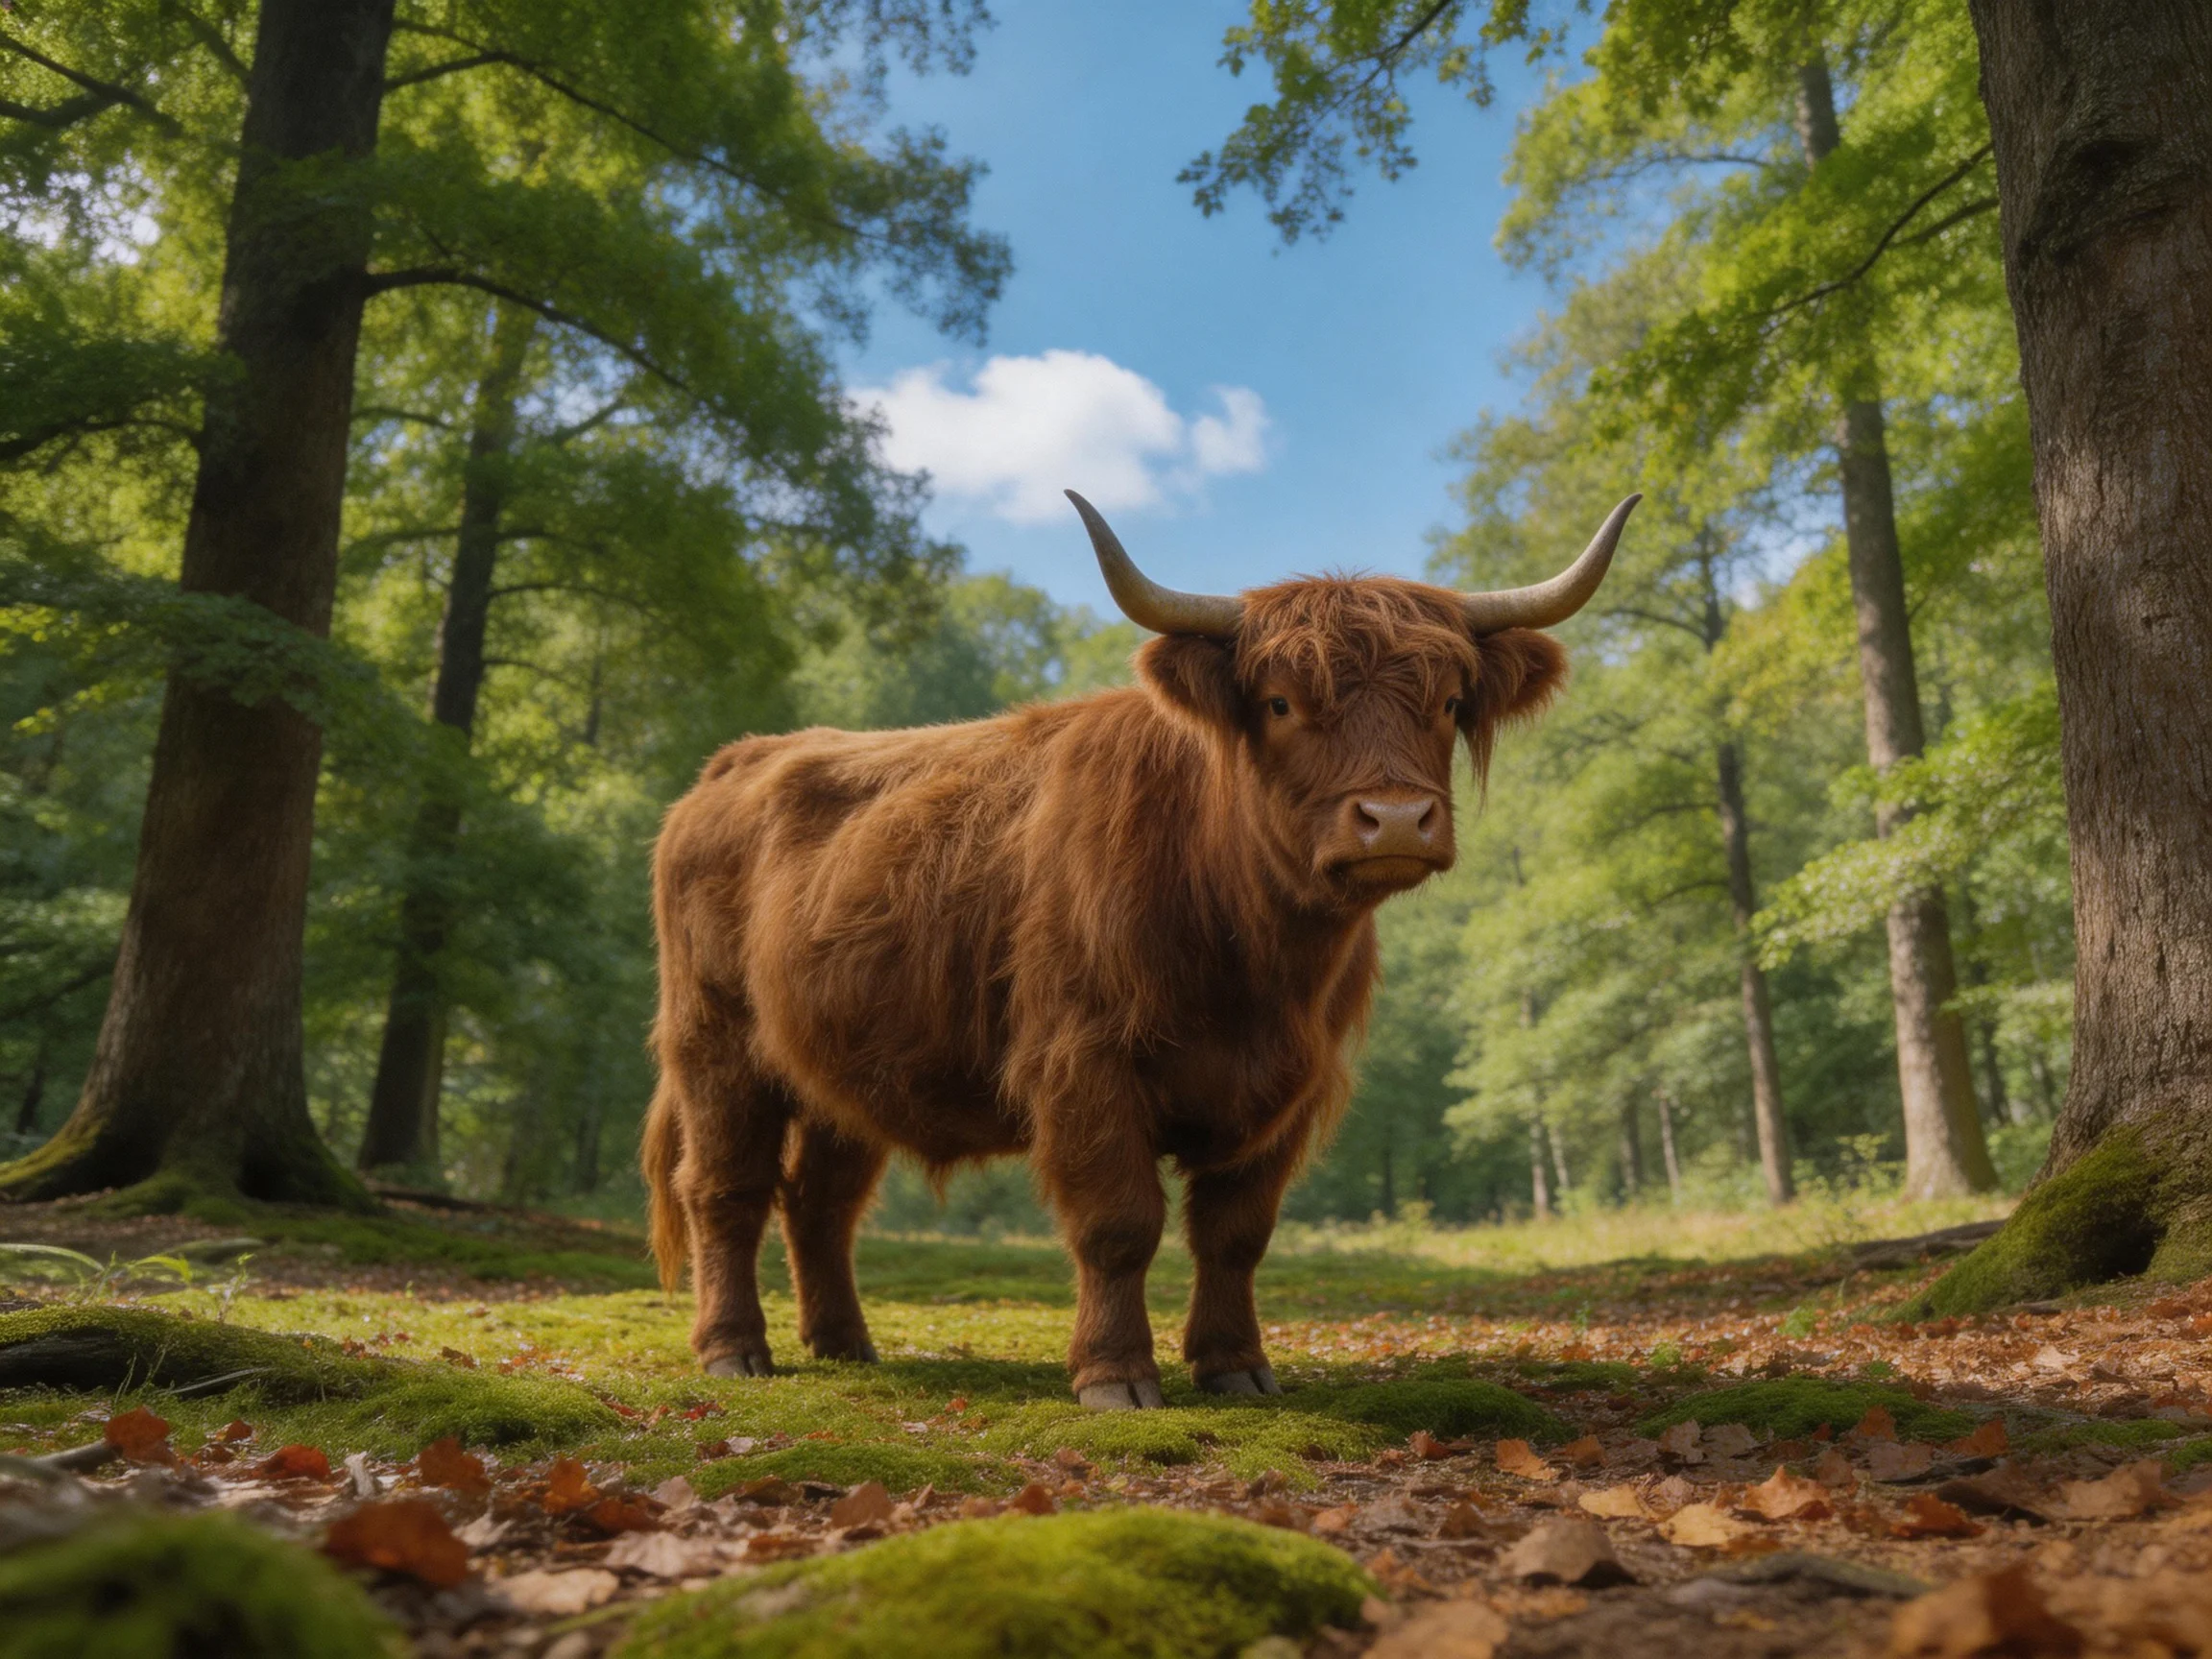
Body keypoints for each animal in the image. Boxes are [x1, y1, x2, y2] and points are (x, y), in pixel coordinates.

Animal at [644, 489, 1638, 1406]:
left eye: (1448, 701)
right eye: (1280, 702)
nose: (1395, 818)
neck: (1255, 961)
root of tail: (733, 762)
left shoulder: (1290, 1085)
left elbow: (1236, 1233)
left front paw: (1236, 1367)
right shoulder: (1084, 1061)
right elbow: (1118, 1224)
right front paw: (1115, 1374)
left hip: (839, 1070)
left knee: (821, 1199)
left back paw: (846, 1344)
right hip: (716, 1044)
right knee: (725, 1188)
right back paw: (734, 1350)